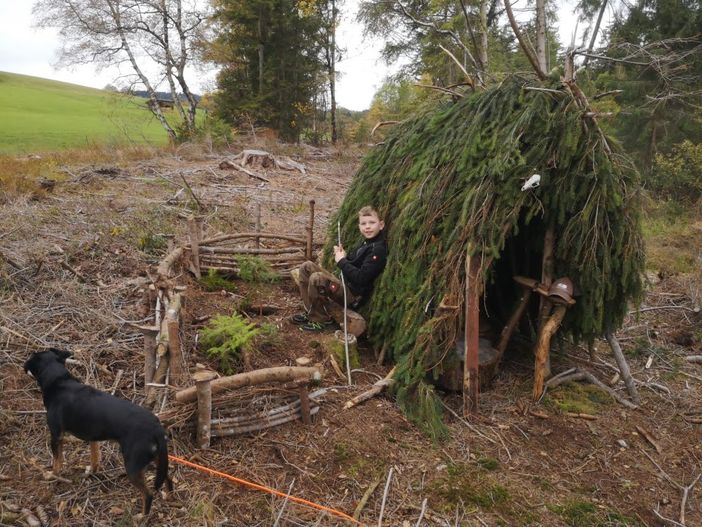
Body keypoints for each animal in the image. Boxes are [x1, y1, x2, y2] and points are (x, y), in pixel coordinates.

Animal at [25, 350, 174, 516]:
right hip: (154, 458)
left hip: (133, 465)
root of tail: (156, 427)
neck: (59, 381)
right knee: (167, 477)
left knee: (148, 494)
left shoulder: (56, 436)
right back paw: (169, 496)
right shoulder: (93, 438)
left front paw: (53, 476)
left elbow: (57, 462)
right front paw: (92, 472)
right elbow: (95, 458)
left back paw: (141, 516)